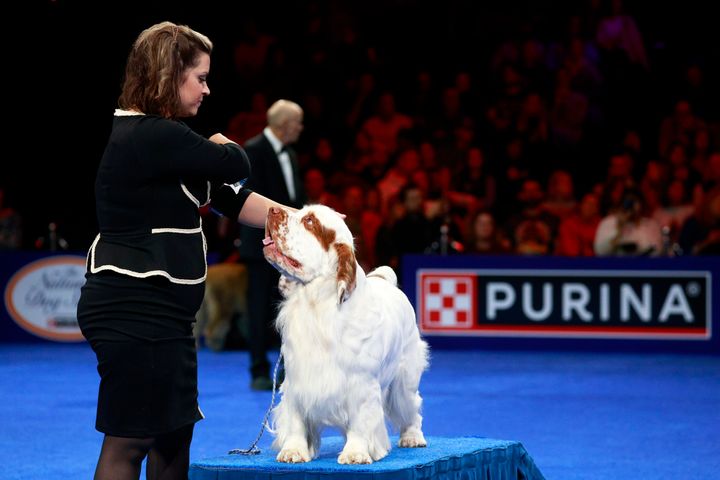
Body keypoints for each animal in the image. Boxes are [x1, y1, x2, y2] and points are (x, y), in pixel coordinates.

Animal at [262, 204, 428, 464]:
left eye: (310, 221)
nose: (272, 209)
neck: (317, 306)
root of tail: (383, 280)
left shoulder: (362, 386)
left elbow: (361, 422)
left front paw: (355, 453)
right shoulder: (297, 381)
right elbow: (296, 420)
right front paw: (294, 450)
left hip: (405, 380)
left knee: (412, 407)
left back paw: (412, 437)